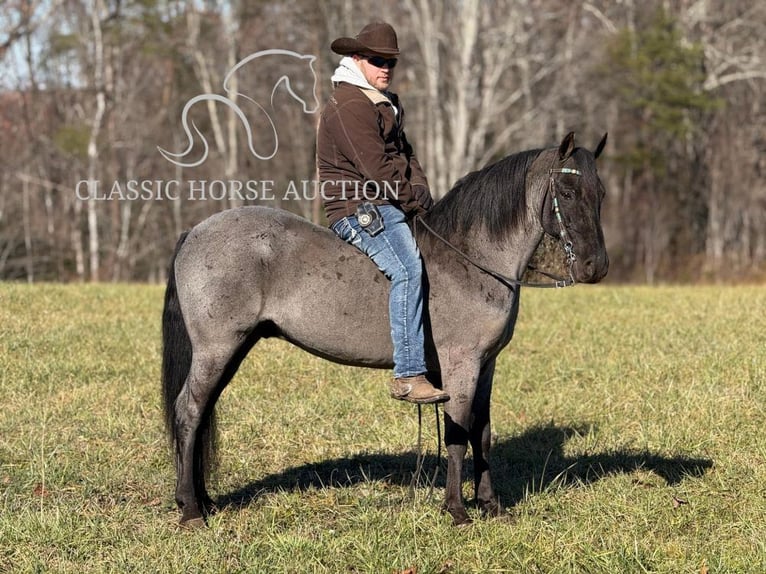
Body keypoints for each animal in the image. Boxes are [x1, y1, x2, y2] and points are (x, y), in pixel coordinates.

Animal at [162, 133, 612, 528]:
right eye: (567, 192)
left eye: (601, 193)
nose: (596, 267)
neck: (471, 258)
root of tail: (194, 233)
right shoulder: (461, 365)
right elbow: (457, 434)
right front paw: (457, 510)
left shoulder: (486, 366)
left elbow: (481, 434)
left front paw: (491, 506)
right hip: (217, 348)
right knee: (189, 412)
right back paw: (191, 510)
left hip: (232, 349)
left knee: (202, 414)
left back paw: (203, 500)